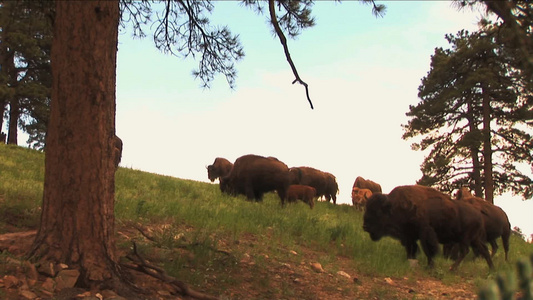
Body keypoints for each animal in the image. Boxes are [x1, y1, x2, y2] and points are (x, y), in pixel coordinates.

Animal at [364, 184, 492, 270]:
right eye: (367, 208)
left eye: (378, 212)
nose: (365, 226)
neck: (395, 206)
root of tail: (479, 215)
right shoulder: (408, 235)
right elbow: (411, 249)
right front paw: (410, 261)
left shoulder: (424, 233)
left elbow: (428, 250)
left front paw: (430, 266)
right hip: (474, 239)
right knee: (484, 250)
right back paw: (491, 270)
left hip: (465, 238)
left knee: (465, 251)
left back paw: (452, 268)